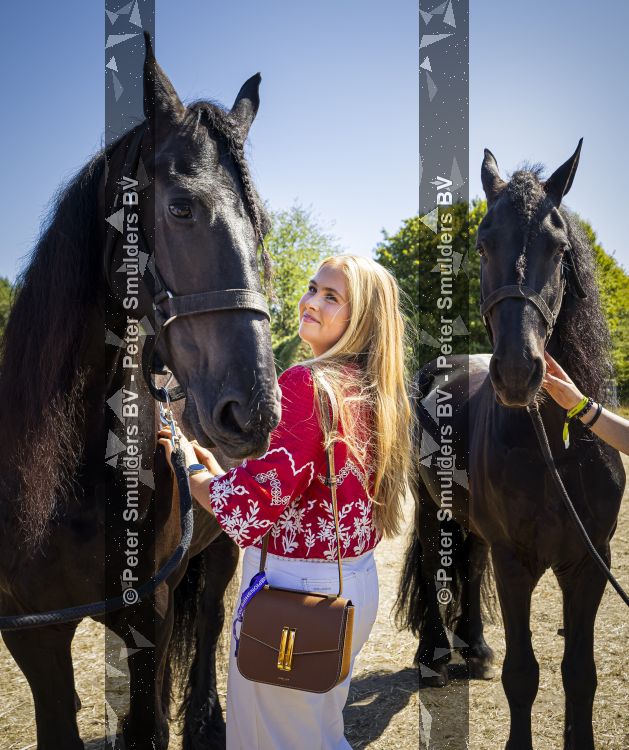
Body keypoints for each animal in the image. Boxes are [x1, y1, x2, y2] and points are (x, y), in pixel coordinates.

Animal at [0, 34, 281, 750]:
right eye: (181, 206)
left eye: (261, 225)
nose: (255, 409)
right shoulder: (35, 635)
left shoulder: (147, 617)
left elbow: (151, 716)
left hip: (220, 553)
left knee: (209, 621)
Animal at [397, 141, 626, 750]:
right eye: (482, 244)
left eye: (559, 248)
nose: (520, 372)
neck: (554, 449)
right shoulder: (516, 561)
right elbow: (523, 674)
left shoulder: (589, 564)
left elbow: (580, 673)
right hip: (430, 508)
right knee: (432, 564)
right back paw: (434, 656)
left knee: (470, 566)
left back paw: (474, 649)